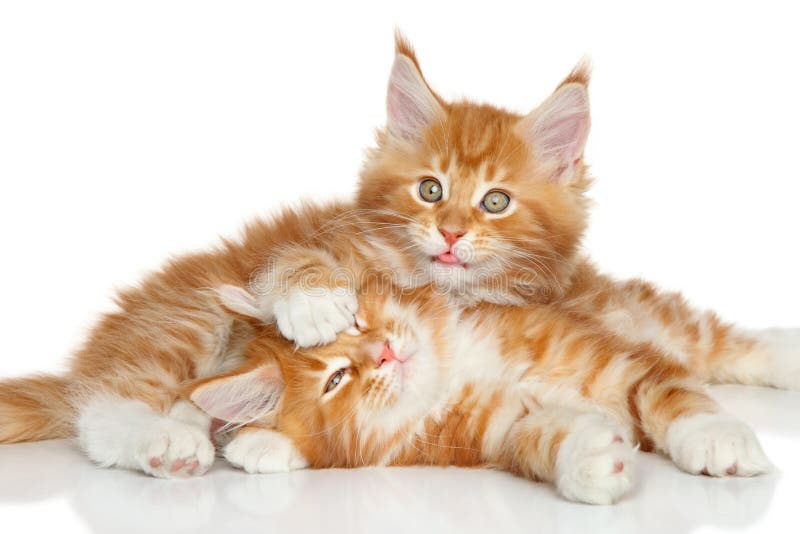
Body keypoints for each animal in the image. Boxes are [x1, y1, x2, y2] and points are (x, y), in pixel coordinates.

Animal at [191, 284, 772, 506]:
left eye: (355, 321)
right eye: (335, 380)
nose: (384, 353)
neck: (451, 372)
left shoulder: (612, 361)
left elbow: (668, 392)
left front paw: (713, 435)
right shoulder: (492, 430)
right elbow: (537, 438)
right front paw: (589, 460)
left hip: (653, 321)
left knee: (723, 345)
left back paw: (782, 353)